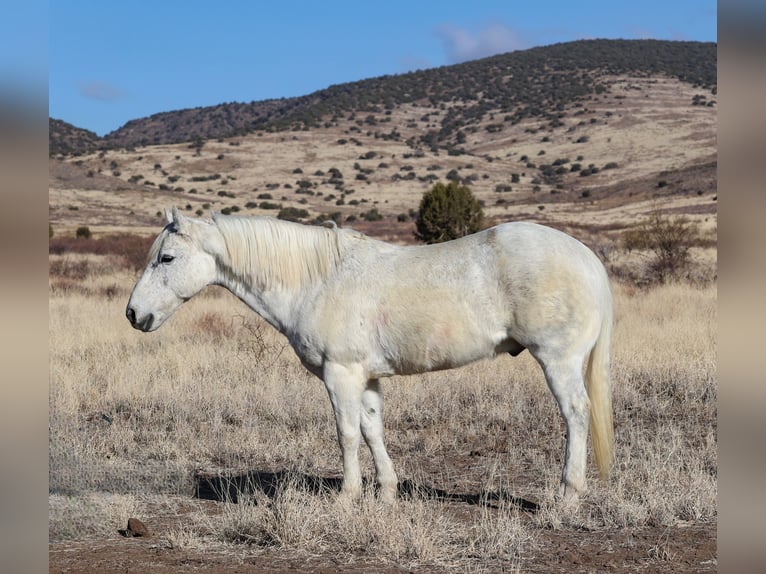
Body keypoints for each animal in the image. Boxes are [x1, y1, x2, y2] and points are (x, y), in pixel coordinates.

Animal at [127, 210, 616, 504]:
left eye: (166, 257)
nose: (134, 314)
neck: (318, 280)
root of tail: (587, 257)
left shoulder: (339, 374)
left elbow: (345, 434)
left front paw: (347, 495)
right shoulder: (365, 377)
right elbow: (372, 430)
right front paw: (385, 492)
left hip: (558, 360)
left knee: (576, 413)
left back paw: (568, 494)